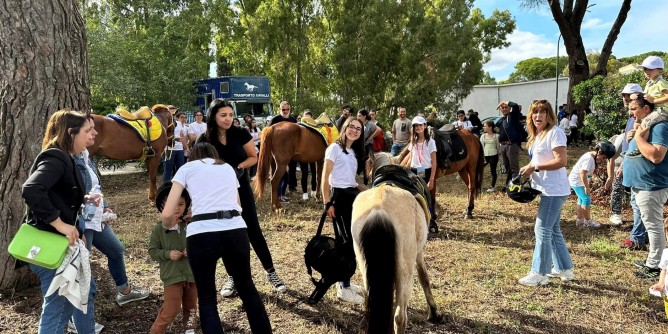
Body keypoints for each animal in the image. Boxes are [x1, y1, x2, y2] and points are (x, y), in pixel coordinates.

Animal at [354, 152, 444, 334]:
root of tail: (378, 209)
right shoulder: (419, 253)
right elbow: (424, 278)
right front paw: (434, 313)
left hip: (364, 264)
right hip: (404, 268)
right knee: (400, 316)